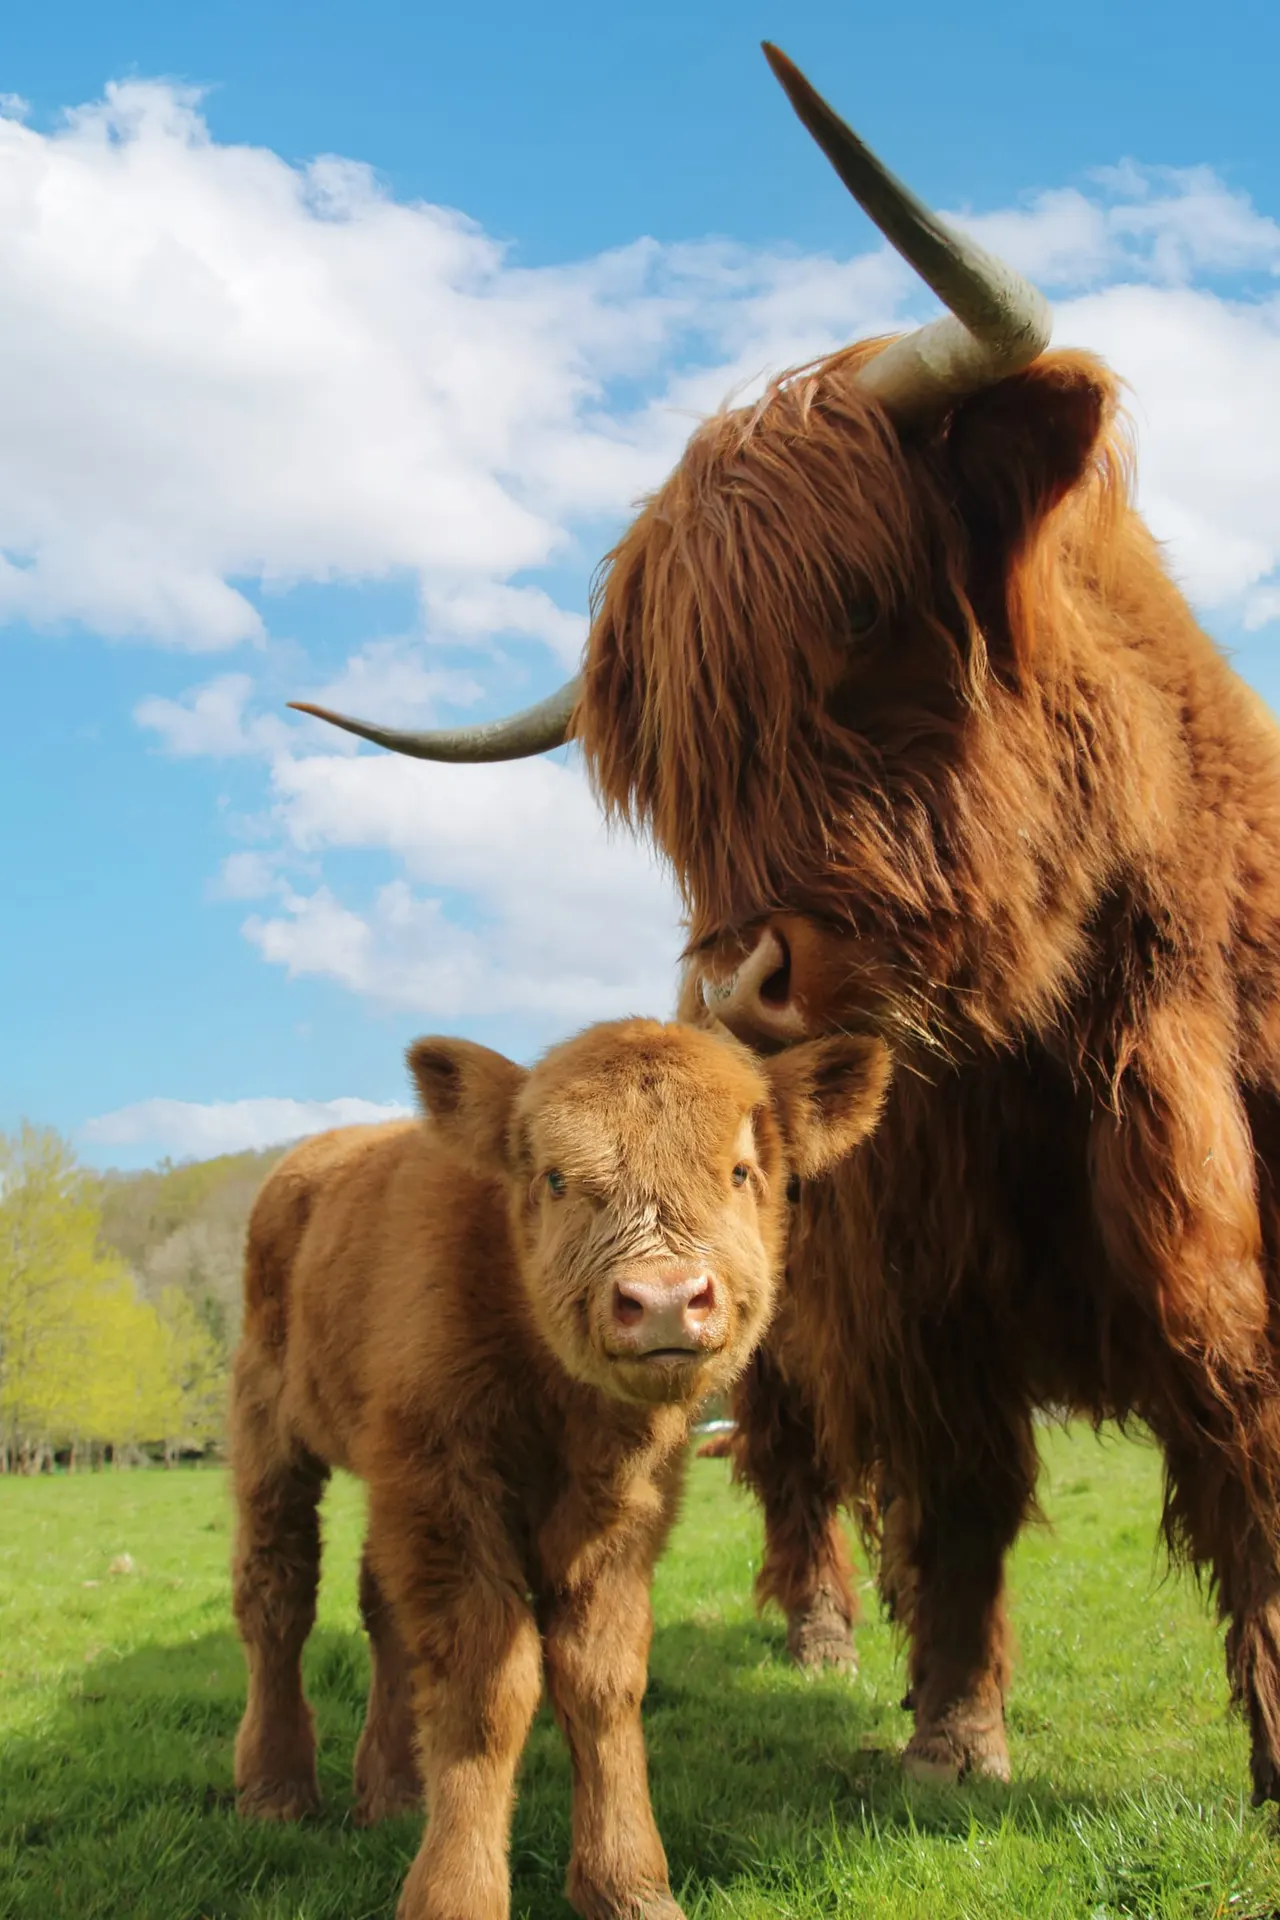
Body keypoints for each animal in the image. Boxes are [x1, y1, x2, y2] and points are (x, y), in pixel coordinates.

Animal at [229, 1014, 889, 1920]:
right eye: (555, 1178)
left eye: (741, 1171)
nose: (664, 1299)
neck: (554, 1393)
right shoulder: (447, 1485)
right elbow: (488, 1688)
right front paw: (457, 1893)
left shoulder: (616, 1509)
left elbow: (601, 1679)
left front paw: (627, 1883)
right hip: (272, 1432)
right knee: (278, 1596)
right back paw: (275, 1789)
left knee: (382, 1613)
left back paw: (393, 1790)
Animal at [288, 46, 1280, 1806]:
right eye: (672, 767)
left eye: (871, 618)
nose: (740, 982)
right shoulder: (910, 1287)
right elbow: (959, 1492)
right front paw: (954, 1734)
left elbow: (1255, 1464)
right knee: (804, 1466)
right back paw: (824, 1634)